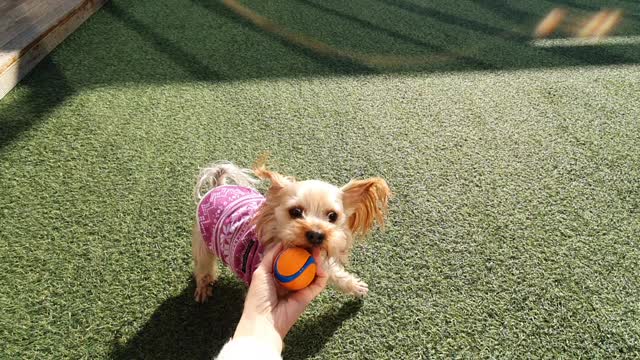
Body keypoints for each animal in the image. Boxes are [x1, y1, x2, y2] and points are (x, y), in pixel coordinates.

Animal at [190, 160, 390, 300]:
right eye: (296, 212)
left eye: (333, 216)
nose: (316, 234)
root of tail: (218, 186)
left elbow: (335, 272)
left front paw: (355, 286)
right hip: (203, 243)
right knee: (203, 266)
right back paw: (203, 288)